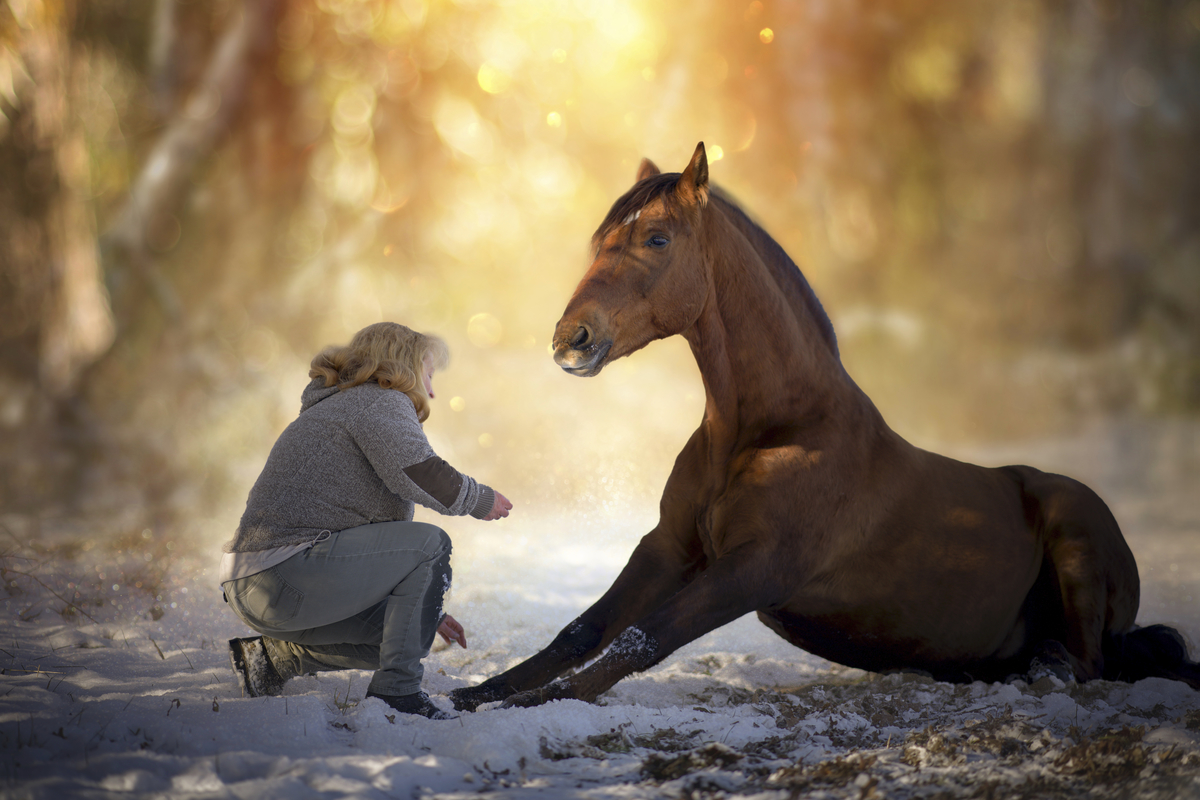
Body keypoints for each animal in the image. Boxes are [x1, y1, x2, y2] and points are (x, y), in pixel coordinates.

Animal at [451, 143, 1200, 714]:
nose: (570, 341)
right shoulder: (666, 549)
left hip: (1077, 537)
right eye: (599, 241)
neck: (769, 429)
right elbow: (579, 633)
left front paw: (526, 705)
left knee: (1088, 662)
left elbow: (639, 641)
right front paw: (463, 698)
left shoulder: (755, 568)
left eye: (656, 239)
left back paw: (1044, 670)